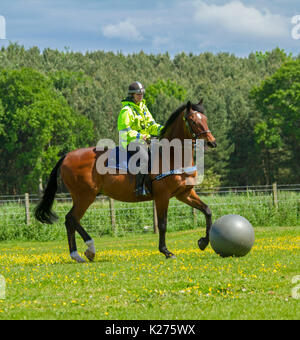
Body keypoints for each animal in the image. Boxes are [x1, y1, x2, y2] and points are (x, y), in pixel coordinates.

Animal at [34, 99, 216, 262]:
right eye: (193, 120)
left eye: (205, 119)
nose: (211, 142)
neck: (170, 156)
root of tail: (66, 156)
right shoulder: (162, 197)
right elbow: (163, 225)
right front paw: (166, 251)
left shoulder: (184, 194)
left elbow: (207, 211)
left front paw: (203, 242)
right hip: (85, 196)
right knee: (72, 219)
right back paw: (87, 250)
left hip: (83, 197)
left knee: (71, 220)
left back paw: (79, 254)